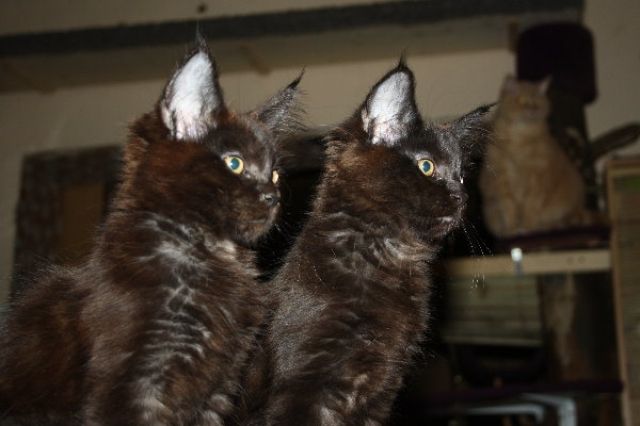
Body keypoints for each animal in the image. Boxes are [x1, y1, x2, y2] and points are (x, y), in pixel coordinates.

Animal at [0, 39, 302, 425]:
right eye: (234, 163)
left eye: (275, 174)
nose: (273, 197)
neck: (213, 256)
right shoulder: (135, 383)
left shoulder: (218, 387)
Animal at [245, 61, 490, 425]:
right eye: (427, 166)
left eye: (461, 176)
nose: (463, 197)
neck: (388, 257)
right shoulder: (300, 385)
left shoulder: (382, 387)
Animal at [479, 75, 593, 239]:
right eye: (522, 101)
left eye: (538, 104)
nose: (532, 111)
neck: (519, 140)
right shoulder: (502, 179)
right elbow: (509, 209)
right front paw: (512, 230)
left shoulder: (538, 180)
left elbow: (530, 209)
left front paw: (527, 228)